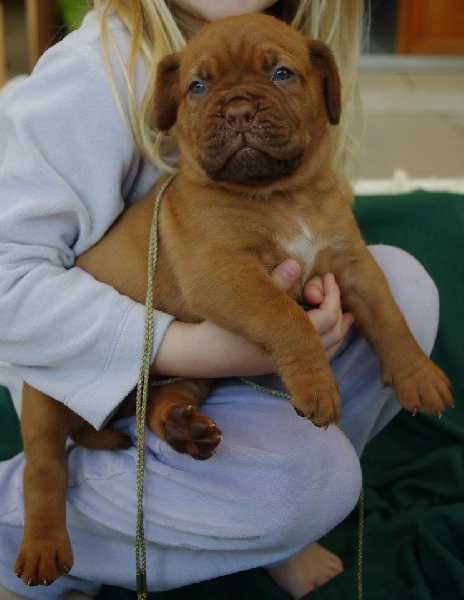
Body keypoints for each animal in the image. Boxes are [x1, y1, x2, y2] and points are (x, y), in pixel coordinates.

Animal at [14, 12, 450, 584]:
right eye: (197, 86)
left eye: (281, 73)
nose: (239, 108)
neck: (281, 194)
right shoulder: (224, 272)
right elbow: (288, 316)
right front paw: (316, 384)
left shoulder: (354, 265)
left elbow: (390, 315)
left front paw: (418, 374)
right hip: (45, 399)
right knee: (44, 469)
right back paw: (43, 549)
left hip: (186, 379)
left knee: (160, 403)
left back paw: (183, 428)